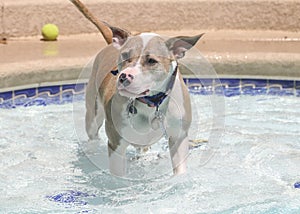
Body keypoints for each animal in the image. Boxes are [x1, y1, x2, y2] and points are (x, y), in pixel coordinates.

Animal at [85, 25, 204, 176]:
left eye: (151, 61)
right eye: (125, 55)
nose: (124, 76)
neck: (151, 102)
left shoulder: (179, 137)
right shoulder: (116, 145)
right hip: (93, 114)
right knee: (93, 133)